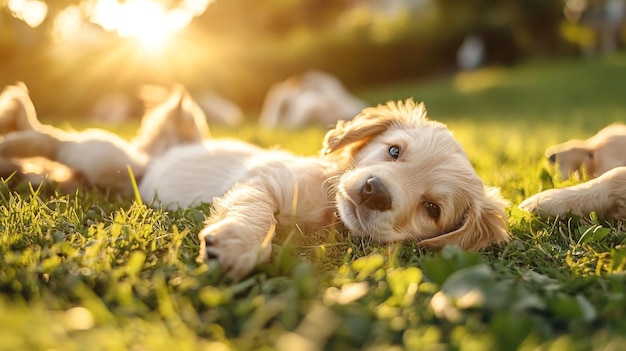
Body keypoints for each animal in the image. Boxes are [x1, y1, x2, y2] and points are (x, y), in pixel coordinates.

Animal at [140, 99, 508, 280]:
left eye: (432, 209)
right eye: (394, 151)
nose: (375, 191)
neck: (327, 207)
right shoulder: (264, 179)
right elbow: (259, 211)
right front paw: (238, 244)